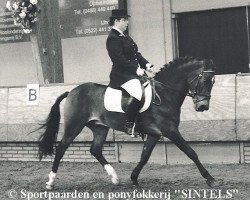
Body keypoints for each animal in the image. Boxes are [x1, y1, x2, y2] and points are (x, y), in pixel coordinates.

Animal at [38, 57, 216, 189]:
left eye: (213, 82)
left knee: (95, 150)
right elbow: (191, 152)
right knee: (61, 148)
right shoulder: (170, 130)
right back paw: (50, 182)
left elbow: (144, 156)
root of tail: (72, 91)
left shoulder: (155, 133)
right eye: (205, 80)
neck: (164, 94)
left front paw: (134, 179)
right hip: (74, 126)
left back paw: (115, 178)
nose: (203, 107)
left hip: (100, 127)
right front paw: (210, 179)